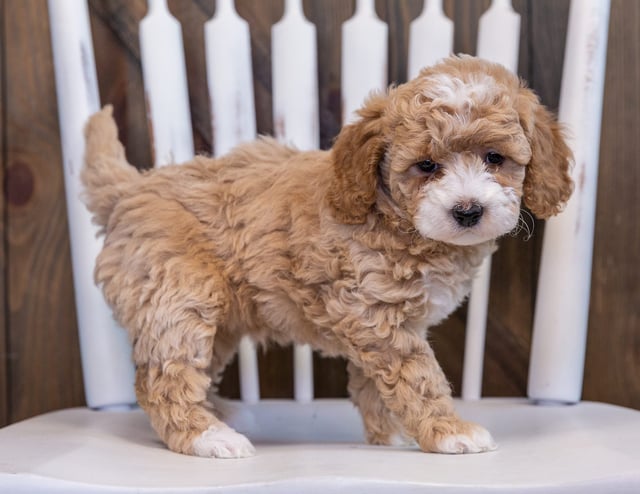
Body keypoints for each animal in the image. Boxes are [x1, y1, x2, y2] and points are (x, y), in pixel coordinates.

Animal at [82, 55, 572, 460]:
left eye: (495, 158)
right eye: (427, 167)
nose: (468, 211)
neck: (392, 217)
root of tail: (132, 188)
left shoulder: (379, 325)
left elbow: (375, 385)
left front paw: (391, 436)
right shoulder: (377, 315)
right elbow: (418, 377)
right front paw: (447, 431)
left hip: (212, 317)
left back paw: (219, 414)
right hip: (178, 297)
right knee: (163, 377)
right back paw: (209, 436)